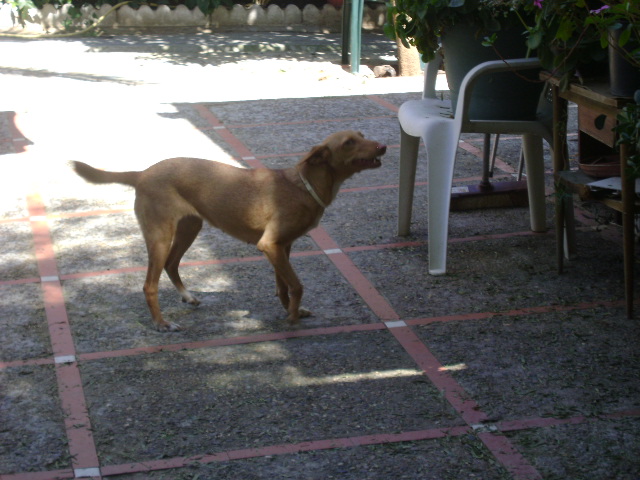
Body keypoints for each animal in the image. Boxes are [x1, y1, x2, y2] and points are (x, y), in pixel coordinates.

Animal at [72, 131, 388, 334]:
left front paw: (291, 310)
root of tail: (142, 173)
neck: (303, 184)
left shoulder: (282, 247)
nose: (384, 146)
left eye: (362, 135)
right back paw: (162, 324)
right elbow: (297, 285)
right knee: (150, 284)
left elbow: (283, 286)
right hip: (160, 236)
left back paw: (188, 297)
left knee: (172, 265)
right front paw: (292, 319)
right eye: (349, 142)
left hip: (190, 227)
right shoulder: (270, 245)